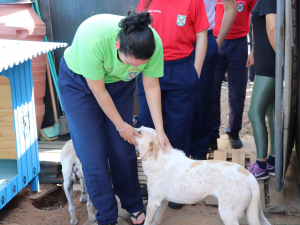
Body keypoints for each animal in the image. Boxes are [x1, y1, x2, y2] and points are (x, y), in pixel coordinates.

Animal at [135, 126, 270, 225]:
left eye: (139, 132)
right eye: (139, 127)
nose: (131, 126)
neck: (157, 156)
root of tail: (248, 175)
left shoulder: (153, 202)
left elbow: (148, 221)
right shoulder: (163, 201)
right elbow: (157, 219)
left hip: (227, 214)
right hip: (254, 212)